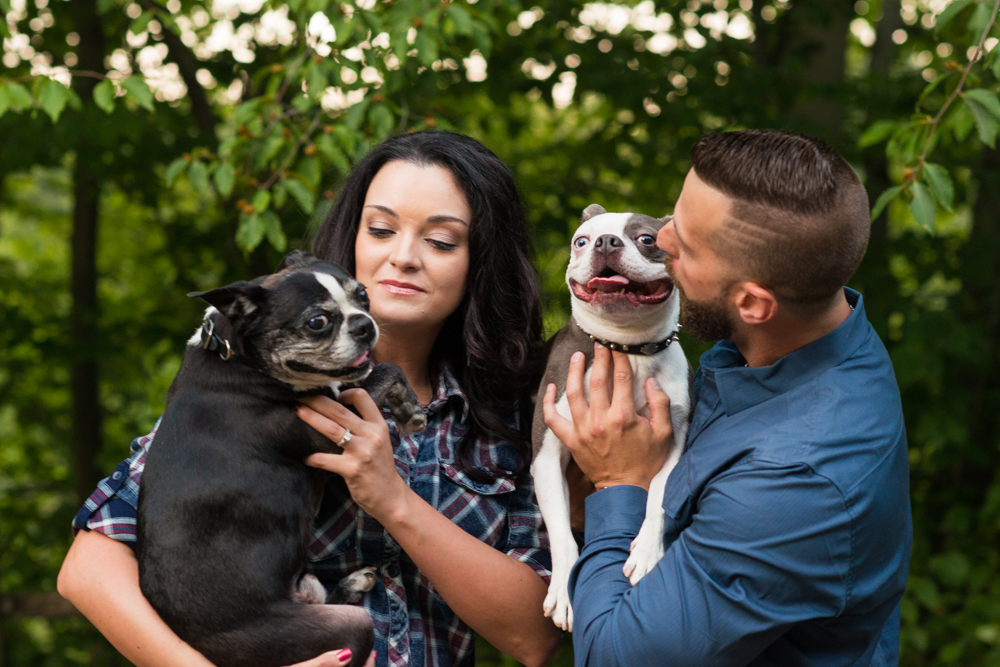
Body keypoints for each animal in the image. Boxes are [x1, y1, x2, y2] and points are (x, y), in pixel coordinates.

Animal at [137, 250, 426, 667]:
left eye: (363, 296)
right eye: (317, 322)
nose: (364, 324)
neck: (234, 354)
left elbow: (383, 372)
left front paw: (407, 406)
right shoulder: (337, 432)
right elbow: (386, 370)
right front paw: (409, 411)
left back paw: (352, 583)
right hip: (341, 628)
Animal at [532, 204, 688, 632]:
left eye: (647, 239)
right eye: (580, 241)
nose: (605, 242)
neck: (626, 349)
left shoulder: (676, 444)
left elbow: (658, 495)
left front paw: (647, 552)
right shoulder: (546, 456)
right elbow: (561, 534)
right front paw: (564, 593)